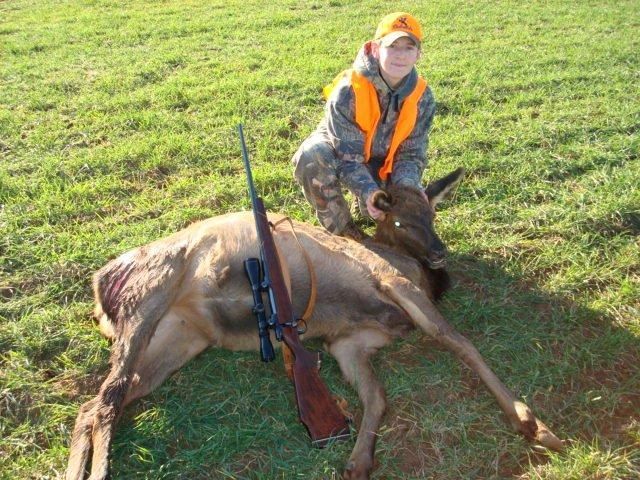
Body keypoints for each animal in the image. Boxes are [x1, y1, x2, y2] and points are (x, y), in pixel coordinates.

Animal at [65, 167, 562, 480]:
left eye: (433, 212)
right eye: (402, 219)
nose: (439, 254)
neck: (418, 273)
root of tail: (98, 289)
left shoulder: (350, 341)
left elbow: (377, 396)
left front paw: (359, 462)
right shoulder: (392, 280)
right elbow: (458, 341)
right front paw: (534, 424)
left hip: (179, 337)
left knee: (96, 403)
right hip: (146, 296)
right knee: (108, 399)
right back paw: (98, 472)